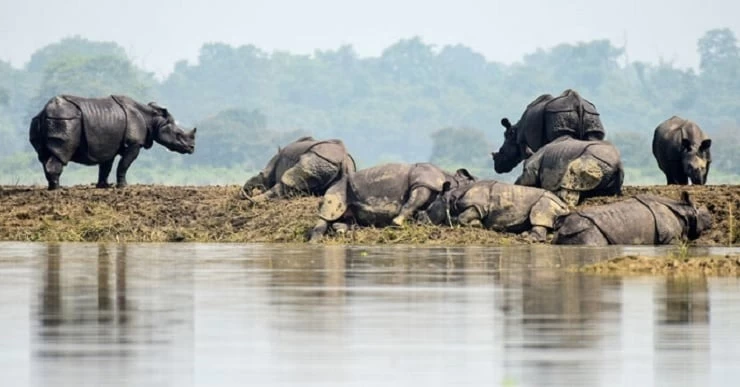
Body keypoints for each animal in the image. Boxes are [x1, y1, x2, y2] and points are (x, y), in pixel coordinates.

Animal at [30, 94, 195, 190]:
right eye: (179, 135)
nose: (192, 148)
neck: (153, 119)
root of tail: (45, 111)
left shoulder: (107, 145)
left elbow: (106, 166)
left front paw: (103, 186)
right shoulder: (134, 143)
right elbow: (124, 164)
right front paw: (123, 186)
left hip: (43, 120)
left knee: (44, 156)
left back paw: (53, 187)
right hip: (65, 120)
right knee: (61, 153)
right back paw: (59, 189)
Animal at [310, 162, 476, 241]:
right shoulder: (423, 183)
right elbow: (414, 201)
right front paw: (398, 223)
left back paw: (340, 229)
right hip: (339, 186)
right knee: (329, 212)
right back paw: (315, 241)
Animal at [422, 180, 572, 241]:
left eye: (429, 209)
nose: (420, 221)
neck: (451, 197)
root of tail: (565, 206)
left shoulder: (478, 206)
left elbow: (463, 217)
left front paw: (478, 225)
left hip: (547, 201)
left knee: (538, 214)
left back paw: (527, 238)